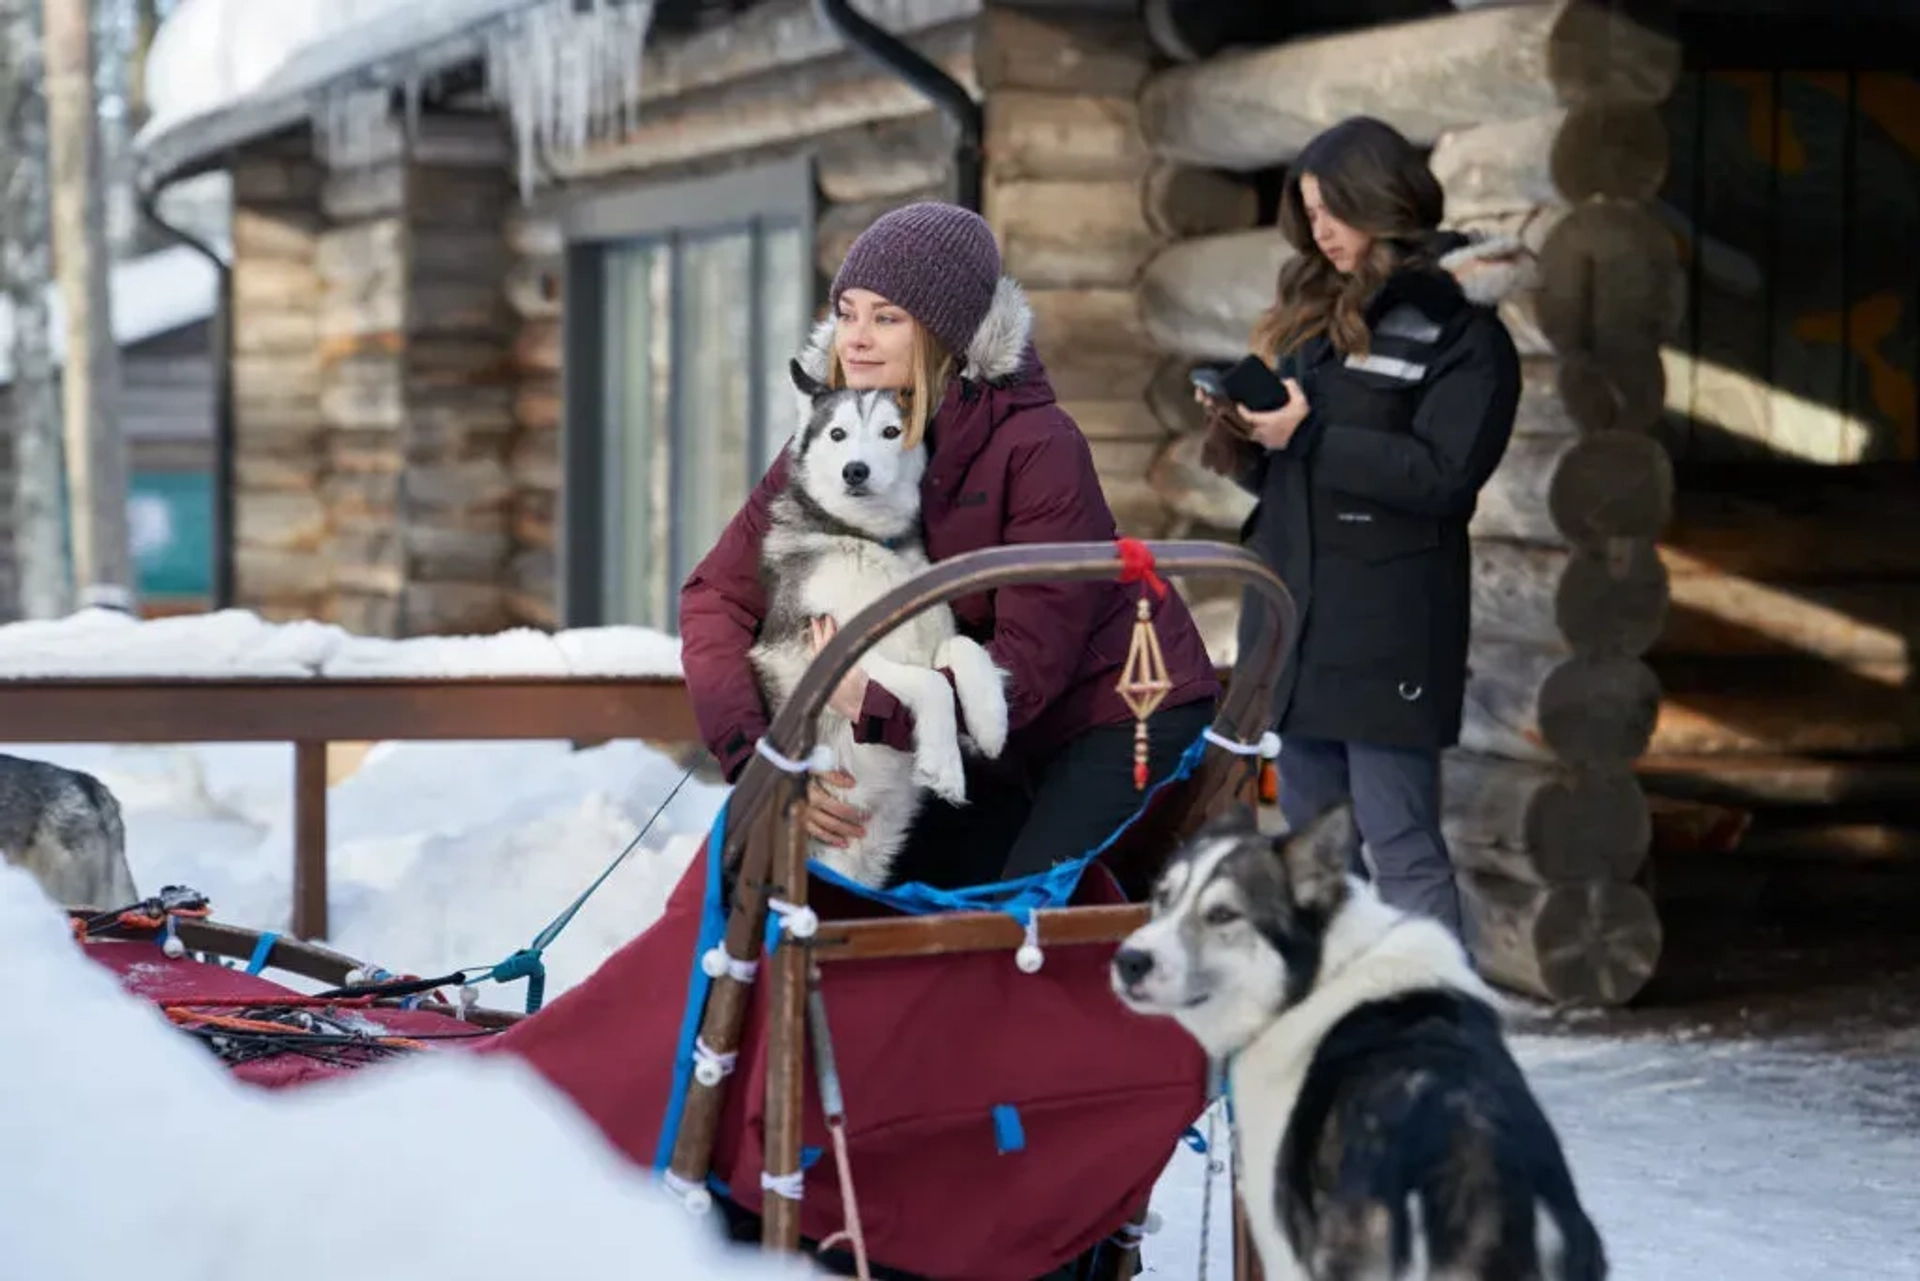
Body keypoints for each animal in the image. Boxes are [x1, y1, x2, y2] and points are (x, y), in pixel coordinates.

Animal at [744, 355, 1013, 887]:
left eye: (891, 431)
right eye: (838, 434)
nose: (856, 470)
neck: (868, 542)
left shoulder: (936, 635)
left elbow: (964, 651)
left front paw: (990, 721)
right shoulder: (820, 654)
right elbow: (931, 684)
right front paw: (945, 764)